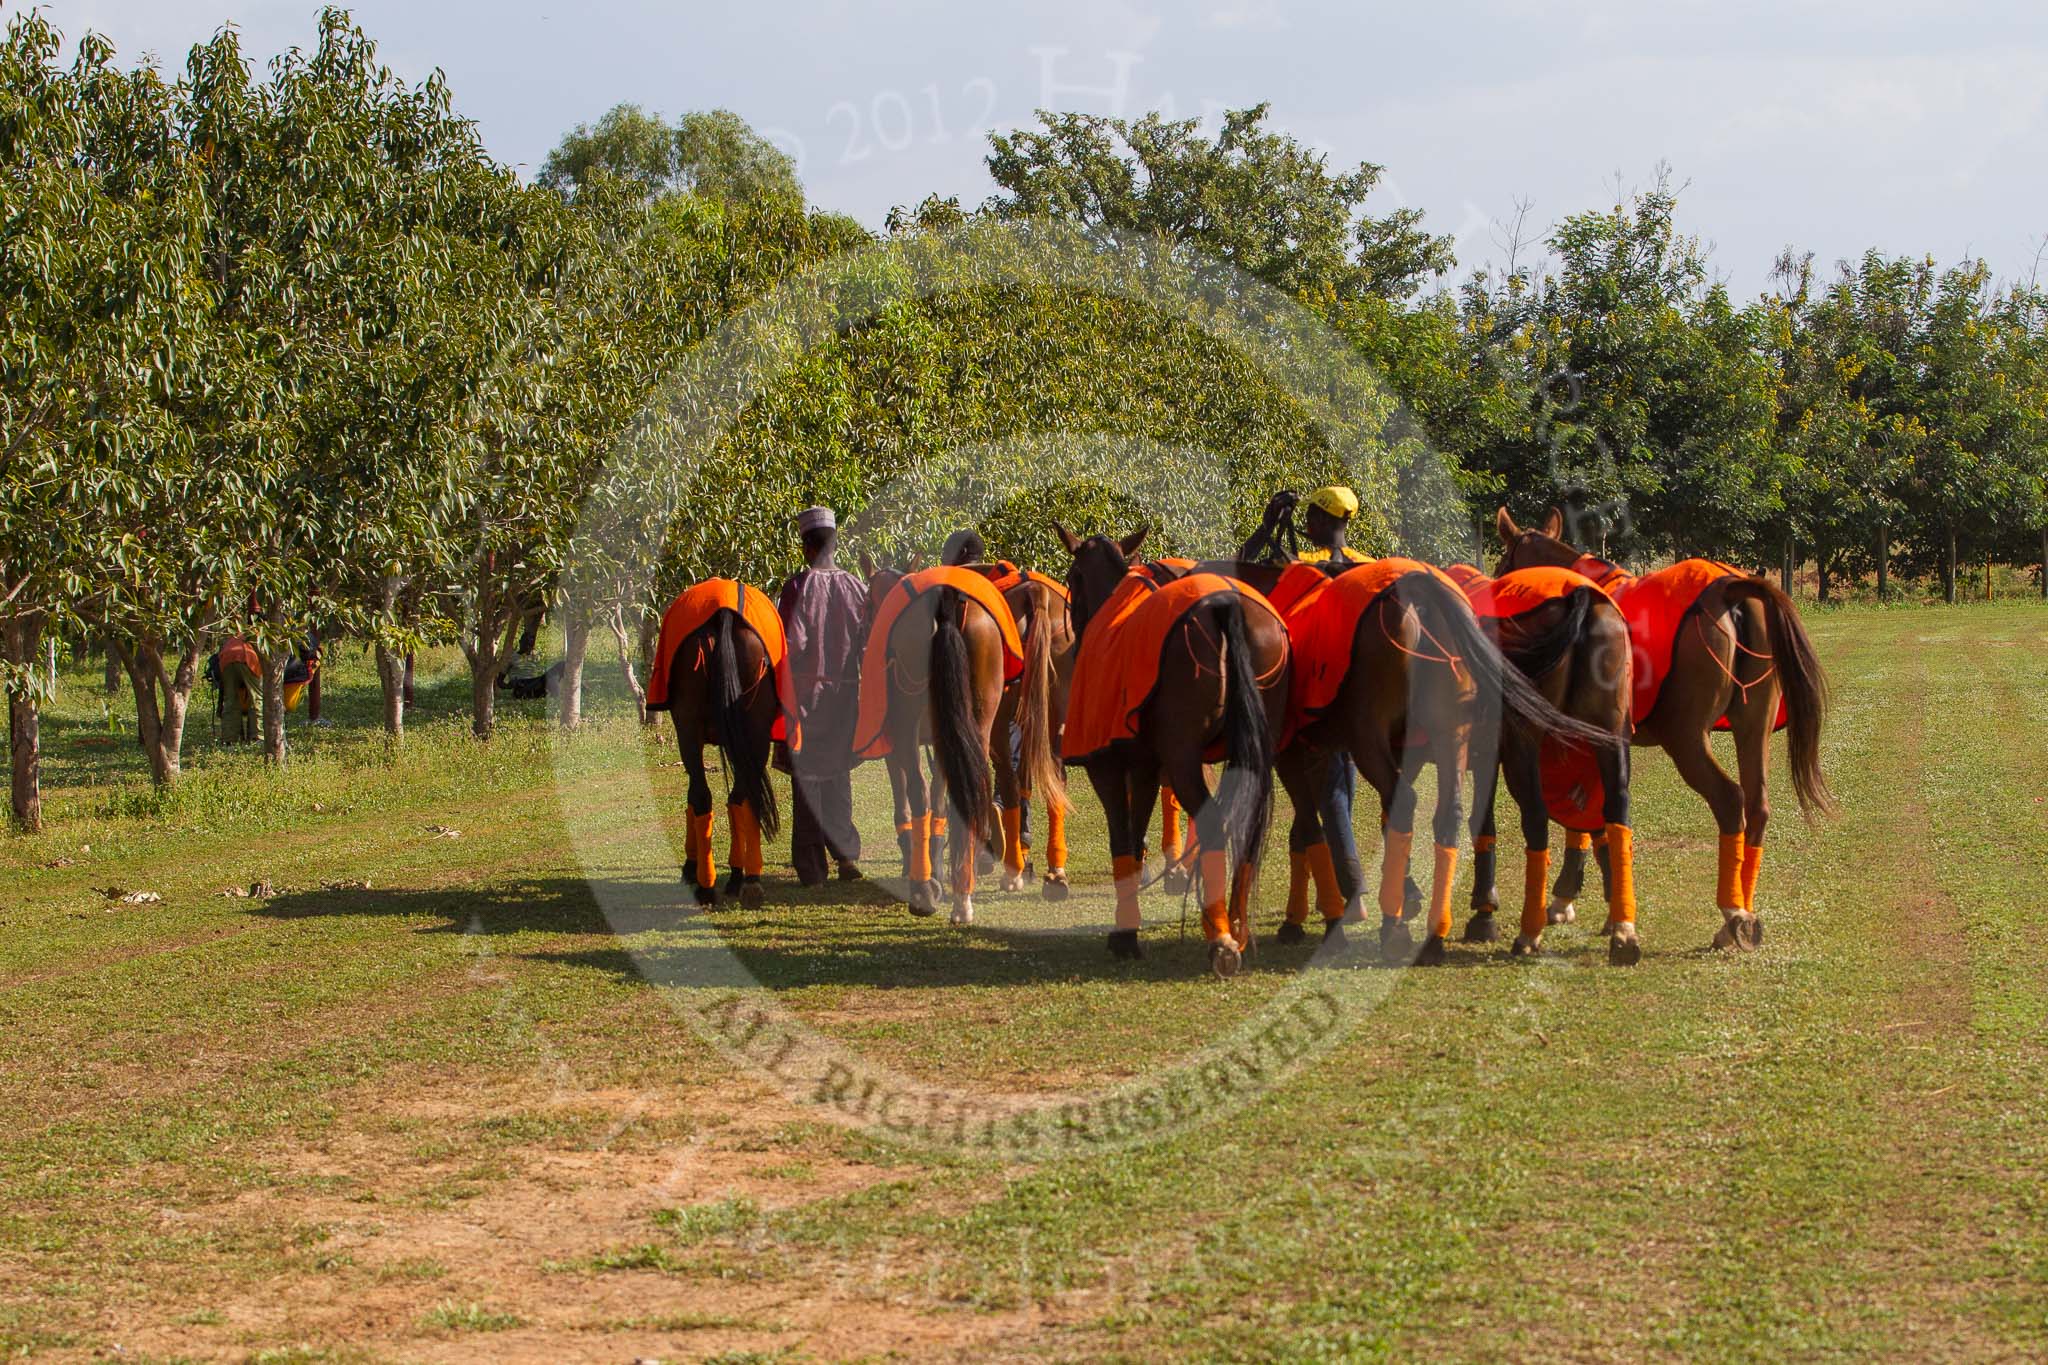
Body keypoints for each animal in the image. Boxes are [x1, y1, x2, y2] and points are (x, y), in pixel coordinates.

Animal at [647, 577, 798, 908]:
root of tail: (723, 615)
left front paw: (690, 866)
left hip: (689, 729)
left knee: (702, 796)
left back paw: (708, 884)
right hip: (754, 732)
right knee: (741, 797)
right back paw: (747, 878)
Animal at [1048, 527, 1286, 982]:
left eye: (1071, 577)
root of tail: (1224, 607)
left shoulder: (1109, 768)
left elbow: (1122, 839)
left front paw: (1125, 934)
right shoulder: (1143, 766)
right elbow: (1136, 838)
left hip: (1183, 757)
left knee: (1214, 823)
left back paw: (1221, 937)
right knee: (1247, 828)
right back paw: (1236, 926)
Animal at [1449, 556, 1638, 961]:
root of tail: (1579, 597)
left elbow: (1483, 822)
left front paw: (1484, 912)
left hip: (1523, 745)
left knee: (1535, 818)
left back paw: (1528, 933)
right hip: (1609, 738)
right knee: (1617, 809)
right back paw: (1624, 932)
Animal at [1490, 505, 1843, 949]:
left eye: (1502, 565)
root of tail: (1731, 591)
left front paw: (1573, 901)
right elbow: (1587, 814)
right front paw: (1590, 902)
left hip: (1686, 738)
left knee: (1730, 800)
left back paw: (1731, 912)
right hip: (1753, 726)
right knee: (1757, 805)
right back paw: (1742, 912)